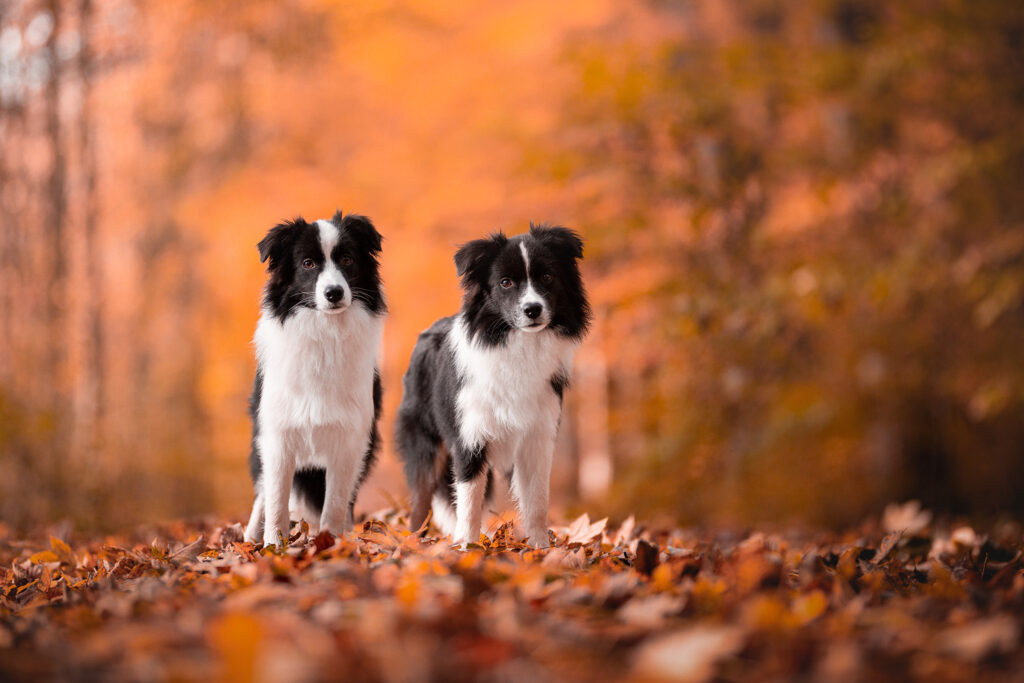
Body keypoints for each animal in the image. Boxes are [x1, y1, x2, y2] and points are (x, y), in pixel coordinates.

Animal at [245, 210, 385, 548]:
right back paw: (250, 535)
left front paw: (330, 543)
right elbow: (276, 498)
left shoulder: (350, 437)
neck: (325, 332)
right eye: (307, 263)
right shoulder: (277, 433)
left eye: (347, 259)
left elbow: (334, 502)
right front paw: (273, 546)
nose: (334, 293)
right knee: (262, 490)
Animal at [393, 227, 589, 548]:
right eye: (505, 282)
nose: (533, 309)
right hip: (425, 445)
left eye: (547, 277)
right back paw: (414, 542)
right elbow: (469, 500)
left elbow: (537, 501)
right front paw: (467, 547)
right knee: (421, 502)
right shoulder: (469, 437)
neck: (516, 344)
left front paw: (541, 549)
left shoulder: (537, 436)